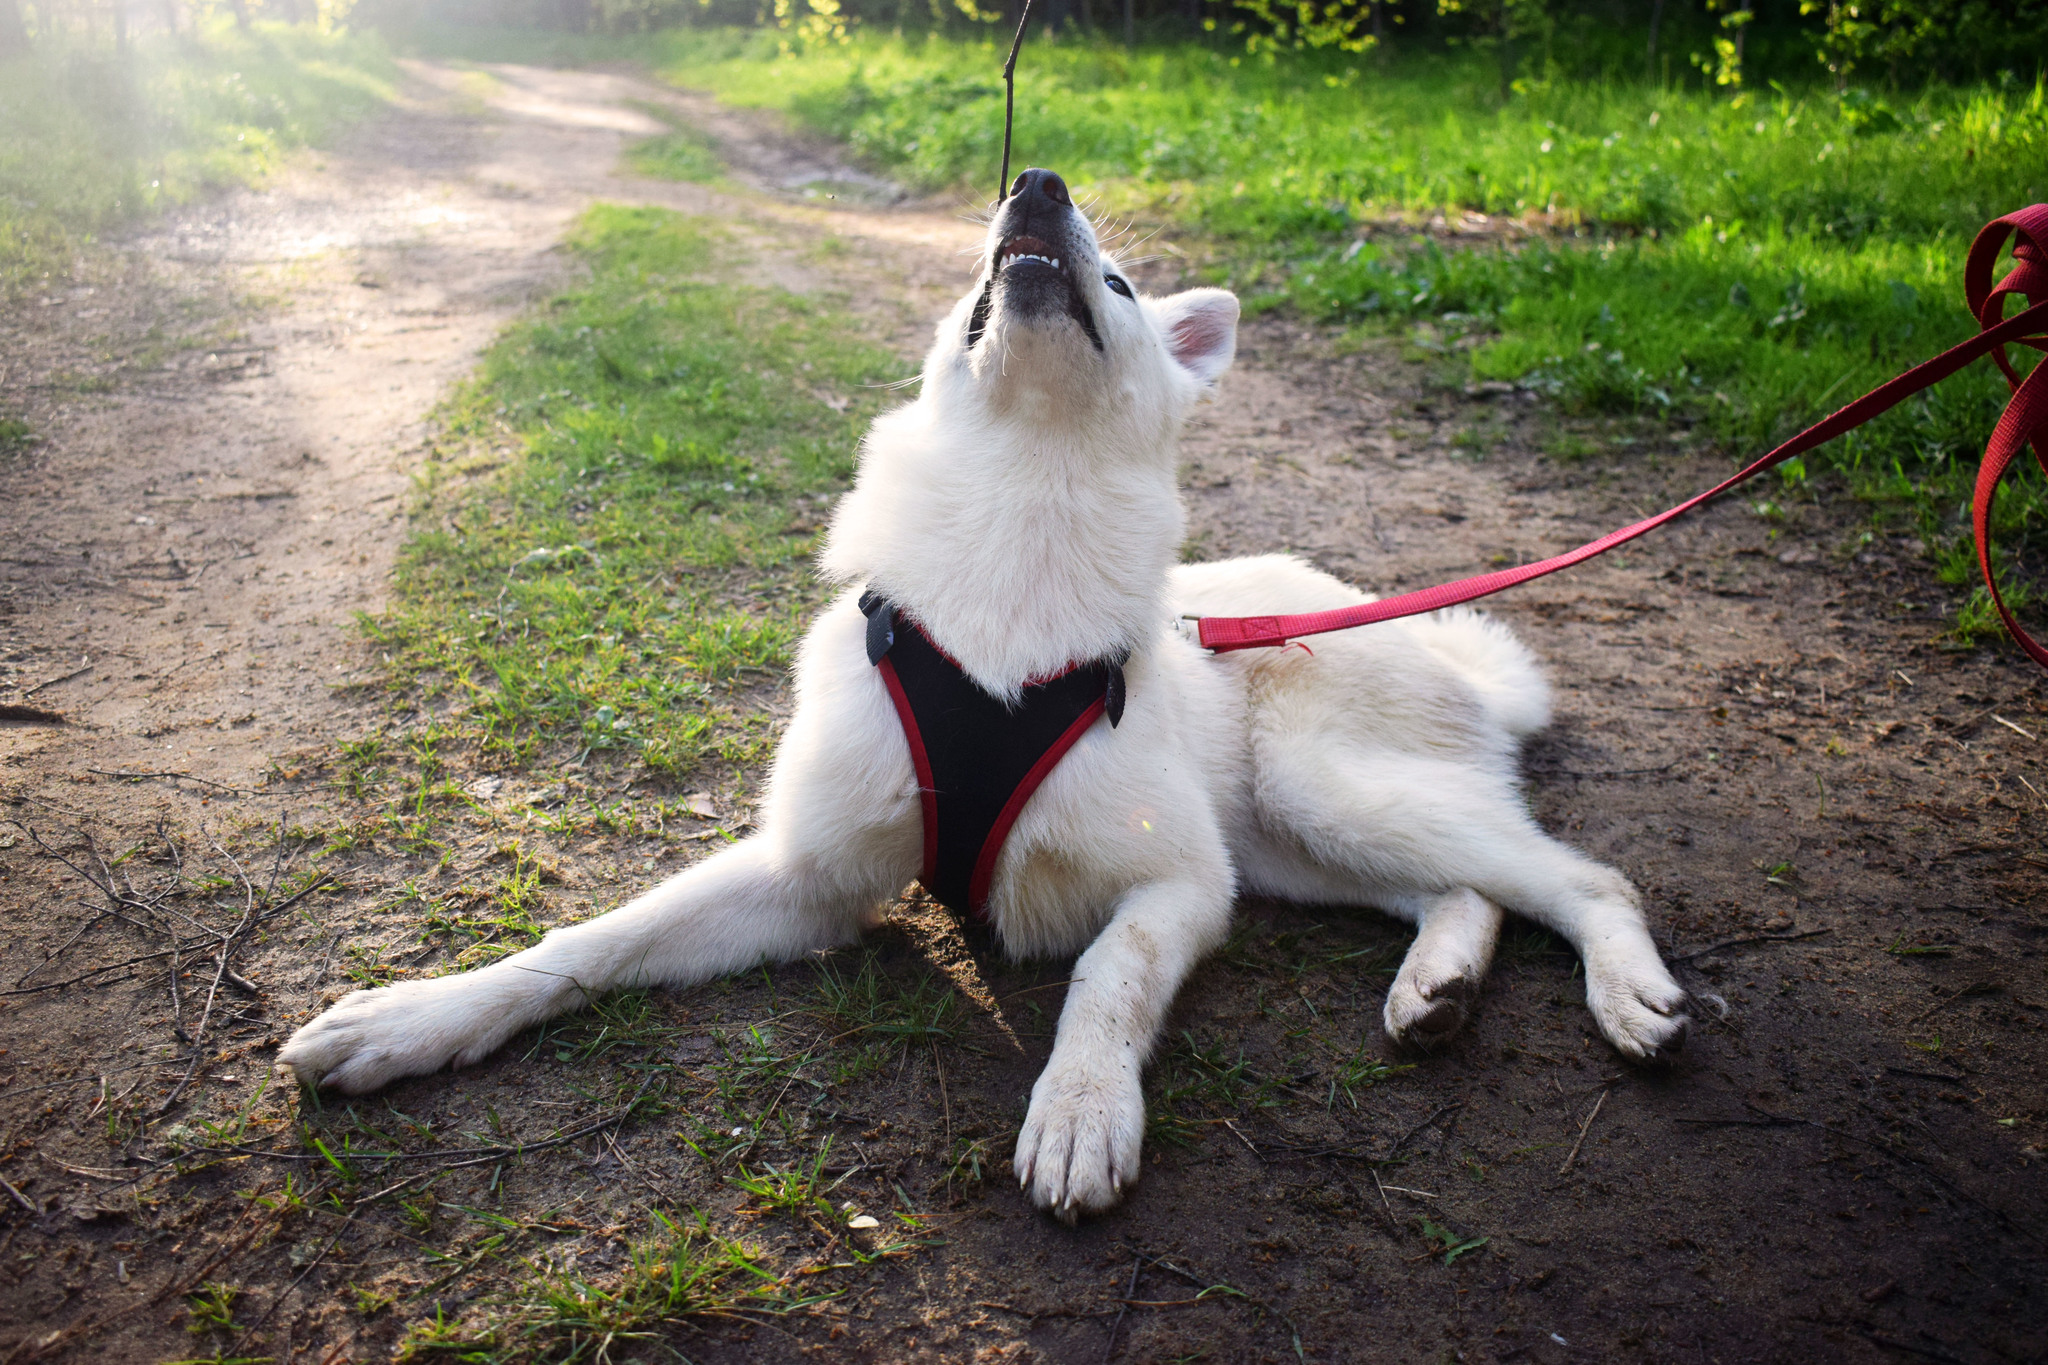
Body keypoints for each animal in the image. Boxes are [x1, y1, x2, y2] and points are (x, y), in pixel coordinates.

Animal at [280, 165, 1687, 1219]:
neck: (1019, 532)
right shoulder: (805, 879)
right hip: (1297, 844)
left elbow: (1105, 980)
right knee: (1466, 891)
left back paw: (1622, 991)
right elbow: (591, 941)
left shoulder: (1181, 888)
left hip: (1315, 794)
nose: (1038, 188)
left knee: (1580, 879)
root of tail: (1422, 636)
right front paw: (418, 1017)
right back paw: (1433, 986)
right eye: (975, 282)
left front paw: (1078, 1109)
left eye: (1119, 283)